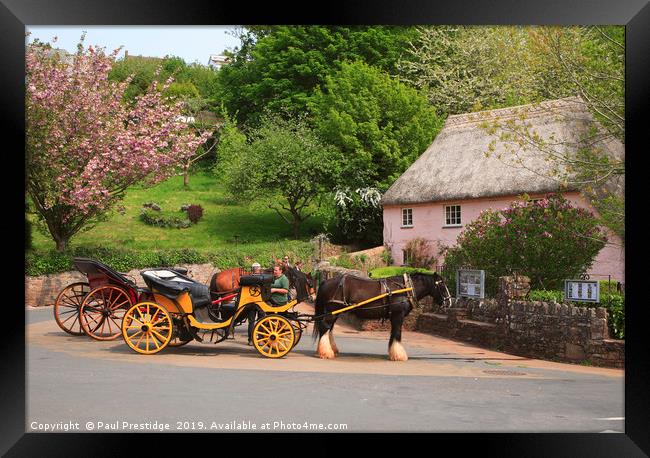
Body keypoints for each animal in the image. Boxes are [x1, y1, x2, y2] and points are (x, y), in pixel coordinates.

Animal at [314, 272, 450, 362]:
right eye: (442, 285)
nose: (449, 302)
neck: (405, 289)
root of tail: (326, 281)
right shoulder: (398, 315)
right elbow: (397, 334)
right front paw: (399, 355)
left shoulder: (394, 316)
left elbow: (393, 334)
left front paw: (393, 353)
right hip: (333, 311)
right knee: (325, 326)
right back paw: (326, 352)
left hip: (334, 312)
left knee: (328, 328)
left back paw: (331, 349)